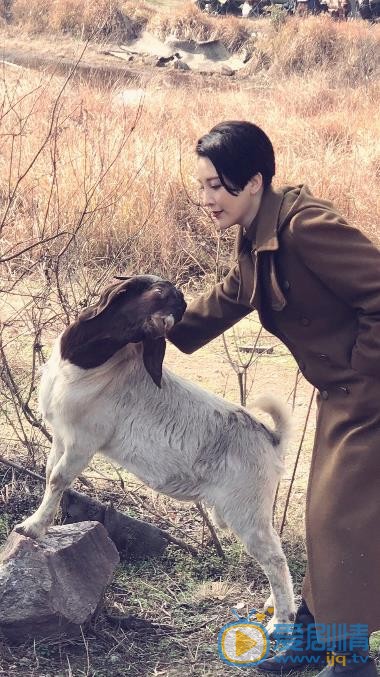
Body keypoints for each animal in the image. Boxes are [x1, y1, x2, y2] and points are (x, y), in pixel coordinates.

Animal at [16, 274, 296, 628]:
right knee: (274, 551)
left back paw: (281, 619)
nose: (167, 319)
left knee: (274, 558)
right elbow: (50, 474)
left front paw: (32, 528)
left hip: (246, 508)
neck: (93, 363)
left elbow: (57, 480)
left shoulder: (83, 441)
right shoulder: (61, 438)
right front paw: (41, 523)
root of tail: (271, 438)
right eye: (159, 292)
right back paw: (273, 606)